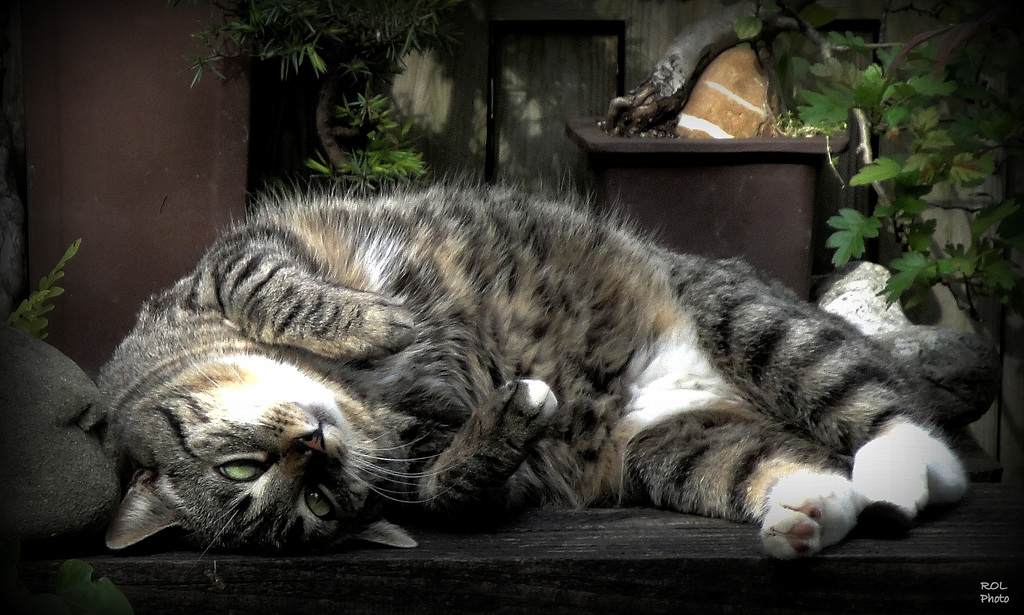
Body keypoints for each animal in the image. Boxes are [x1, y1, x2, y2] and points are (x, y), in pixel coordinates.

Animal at [99, 182, 970, 556]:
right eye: (316, 502)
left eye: (240, 466)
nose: (314, 446)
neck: (362, 398)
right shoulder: (437, 458)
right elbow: (449, 488)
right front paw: (504, 420)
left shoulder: (239, 257)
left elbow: (276, 287)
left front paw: (384, 320)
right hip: (677, 449)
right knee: (796, 464)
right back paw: (811, 512)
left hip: (753, 325)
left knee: (896, 417)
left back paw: (899, 466)